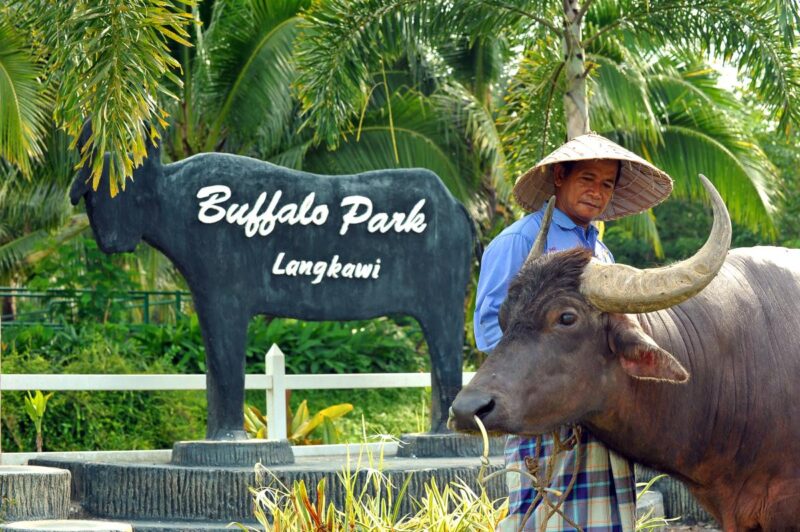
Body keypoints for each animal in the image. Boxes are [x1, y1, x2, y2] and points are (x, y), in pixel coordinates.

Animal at [72, 124, 472, 440]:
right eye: (91, 193)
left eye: (126, 188)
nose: (111, 240)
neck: (171, 202)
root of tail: (458, 207)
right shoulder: (206, 298)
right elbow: (215, 374)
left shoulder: (226, 298)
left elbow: (227, 372)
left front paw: (229, 439)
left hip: (443, 305)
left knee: (448, 361)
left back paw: (443, 435)